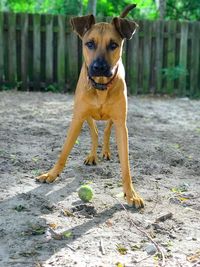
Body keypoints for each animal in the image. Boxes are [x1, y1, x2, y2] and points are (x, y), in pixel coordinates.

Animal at [37, 3, 144, 209]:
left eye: (113, 45)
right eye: (90, 44)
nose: (99, 67)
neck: (101, 87)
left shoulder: (121, 123)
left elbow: (126, 165)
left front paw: (131, 194)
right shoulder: (78, 117)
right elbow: (64, 151)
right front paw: (52, 174)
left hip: (113, 119)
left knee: (106, 131)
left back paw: (105, 152)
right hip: (85, 114)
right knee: (94, 132)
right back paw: (92, 155)